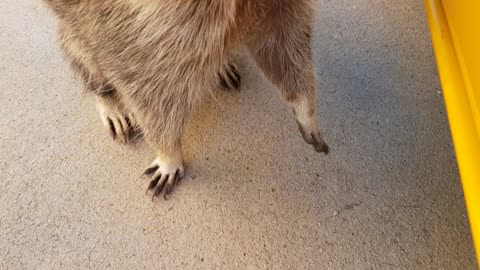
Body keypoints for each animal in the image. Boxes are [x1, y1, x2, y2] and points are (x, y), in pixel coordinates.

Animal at [44, 0, 330, 198]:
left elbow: (286, 44)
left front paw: (306, 108)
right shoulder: (141, 26)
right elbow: (147, 85)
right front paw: (169, 153)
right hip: (77, 29)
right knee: (84, 53)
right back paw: (107, 96)